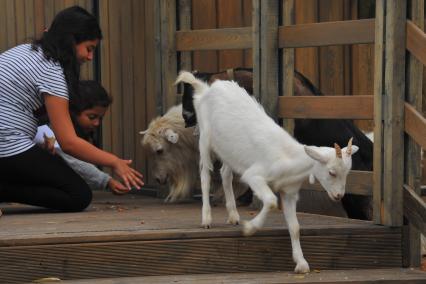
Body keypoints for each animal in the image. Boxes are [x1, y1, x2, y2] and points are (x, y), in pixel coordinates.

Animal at [176, 71, 360, 272]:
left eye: (347, 173)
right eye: (332, 172)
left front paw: (301, 263)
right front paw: (250, 228)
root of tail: (206, 89)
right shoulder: (255, 176)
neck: (289, 158)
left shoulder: (289, 192)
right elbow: (271, 201)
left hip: (229, 150)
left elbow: (295, 227)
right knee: (205, 174)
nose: (338, 195)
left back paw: (233, 215)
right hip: (205, 138)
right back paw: (207, 218)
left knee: (225, 173)